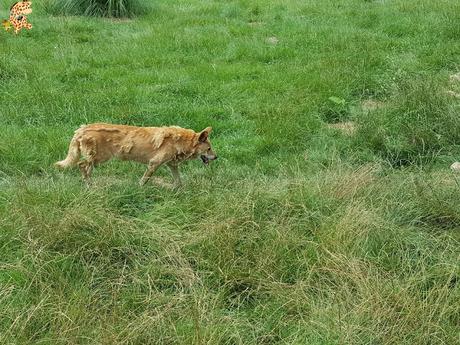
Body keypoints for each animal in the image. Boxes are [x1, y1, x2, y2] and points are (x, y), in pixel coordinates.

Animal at [55, 123, 217, 185]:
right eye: (209, 149)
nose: (217, 157)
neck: (180, 141)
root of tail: (81, 129)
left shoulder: (171, 165)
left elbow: (178, 182)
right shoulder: (154, 164)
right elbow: (143, 181)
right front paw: (139, 189)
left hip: (96, 160)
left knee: (86, 169)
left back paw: (90, 185)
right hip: (99, 158)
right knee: (81, 165)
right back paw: (89, 185)